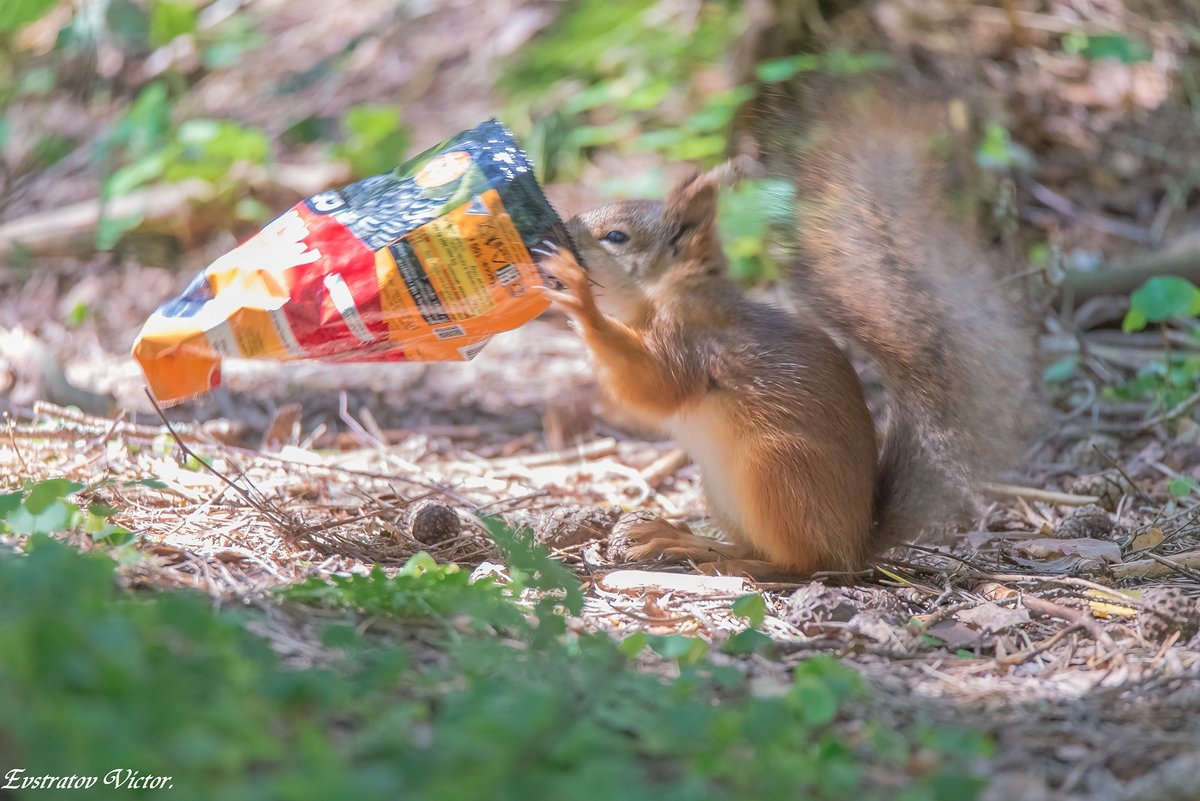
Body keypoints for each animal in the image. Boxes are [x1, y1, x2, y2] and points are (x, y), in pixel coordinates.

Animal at [540, 101, 1036, 575]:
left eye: (616, 236)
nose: (558, 233)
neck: (671, 292)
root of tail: (857, 542)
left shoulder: (694, 343)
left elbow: (656, 385)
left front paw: (579, 298)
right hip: (723, 489)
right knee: (750, 544)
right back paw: (680, 540)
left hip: (775, 468)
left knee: (802, 563)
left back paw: (738, 564)